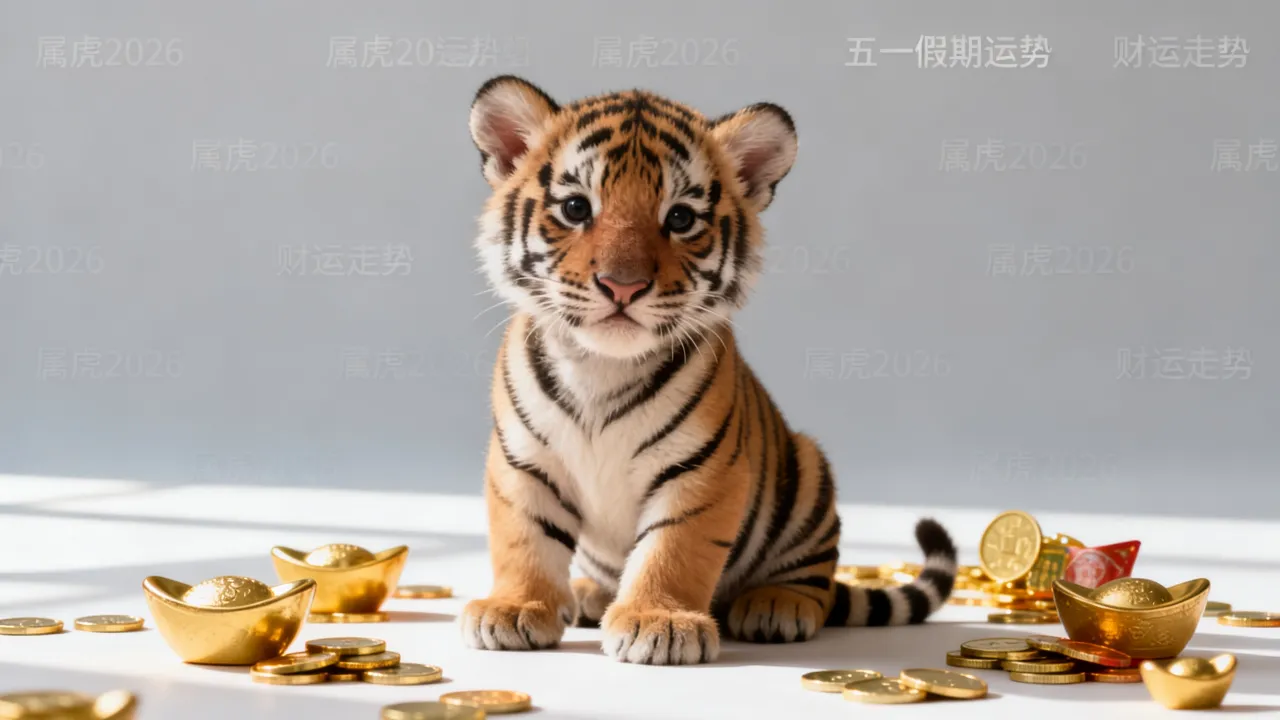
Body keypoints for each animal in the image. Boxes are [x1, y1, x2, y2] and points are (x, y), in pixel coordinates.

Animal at [460, 74, 958, 665]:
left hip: (809, 473)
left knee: (812, 579)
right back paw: (587, 595)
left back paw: (776, 606)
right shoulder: (523, 461)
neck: (601, 367)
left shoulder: (702, 468)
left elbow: (674, 547)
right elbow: (524, 540)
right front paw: (514, 608)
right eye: (577, 208)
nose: (622, 285)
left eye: (679, 218)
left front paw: (659, 621)